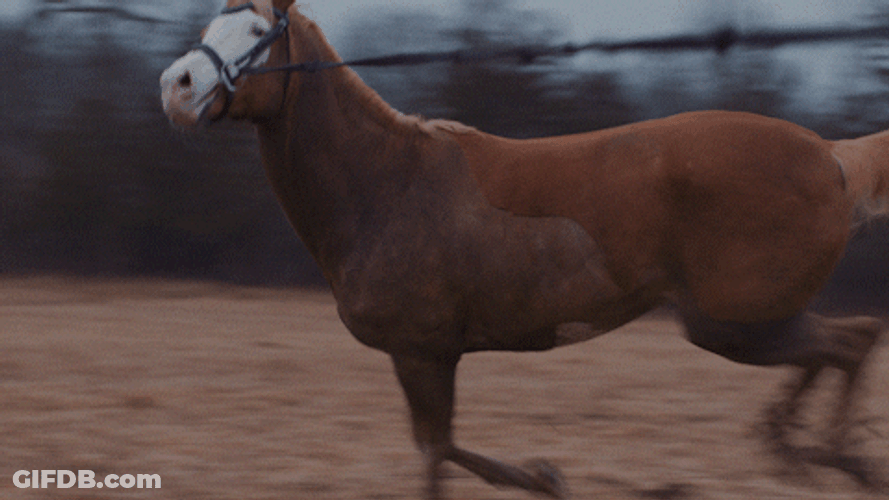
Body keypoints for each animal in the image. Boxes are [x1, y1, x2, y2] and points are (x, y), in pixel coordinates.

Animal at [160, 1, 886, 497]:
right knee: (849, 338)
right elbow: (442, 448)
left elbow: (435, 452)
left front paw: (546, 475)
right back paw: (806, 449)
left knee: (847, 343)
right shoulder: (432, 353)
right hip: (751, 318)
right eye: (210, 25)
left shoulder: (420, 349)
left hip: (731, 321)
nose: (177, 85)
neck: (384, 182)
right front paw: (546, 474)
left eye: (259, 33)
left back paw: (829, 455)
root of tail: (832, 158)